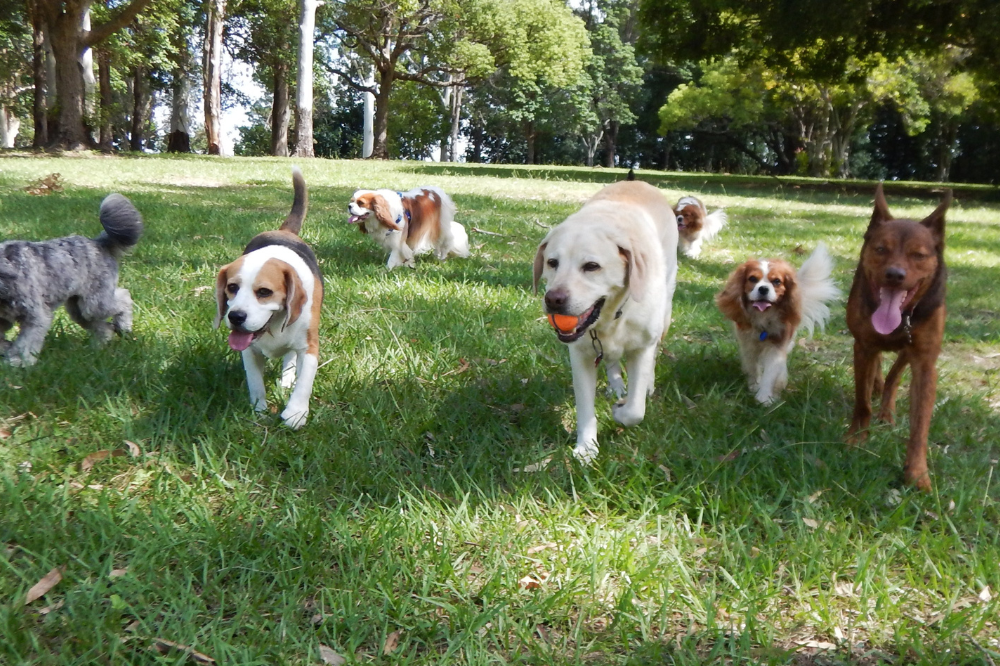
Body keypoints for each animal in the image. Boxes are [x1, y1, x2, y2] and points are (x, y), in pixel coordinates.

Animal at [0, 192, 143, 366]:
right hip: (78, 309)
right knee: (104, 328)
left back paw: (124, 326)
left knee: (124, 298)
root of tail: (99, 243)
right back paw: (98, 348)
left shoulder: (36, 316)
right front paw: (7, 349)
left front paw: (18, 361)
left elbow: (25, 343)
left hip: (95, 303)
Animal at [716, 241, 840, 402]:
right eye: (752, 279)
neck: (763, 317)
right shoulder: (748, 343)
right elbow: (752, 366)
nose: (763, 289)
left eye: (776, 281)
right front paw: (754, 385)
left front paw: (764, 398)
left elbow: (771, 372)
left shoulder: (777, 345)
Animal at [844, 184, 952, 490]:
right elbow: (862, 401)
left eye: (919, 255)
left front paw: (917, 473)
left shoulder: (924, 362)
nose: (894, 274)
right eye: (881, 249)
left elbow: (920, 426)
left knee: (894, 374)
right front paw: (857, 438)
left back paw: (886, 408)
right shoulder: (863, 346)